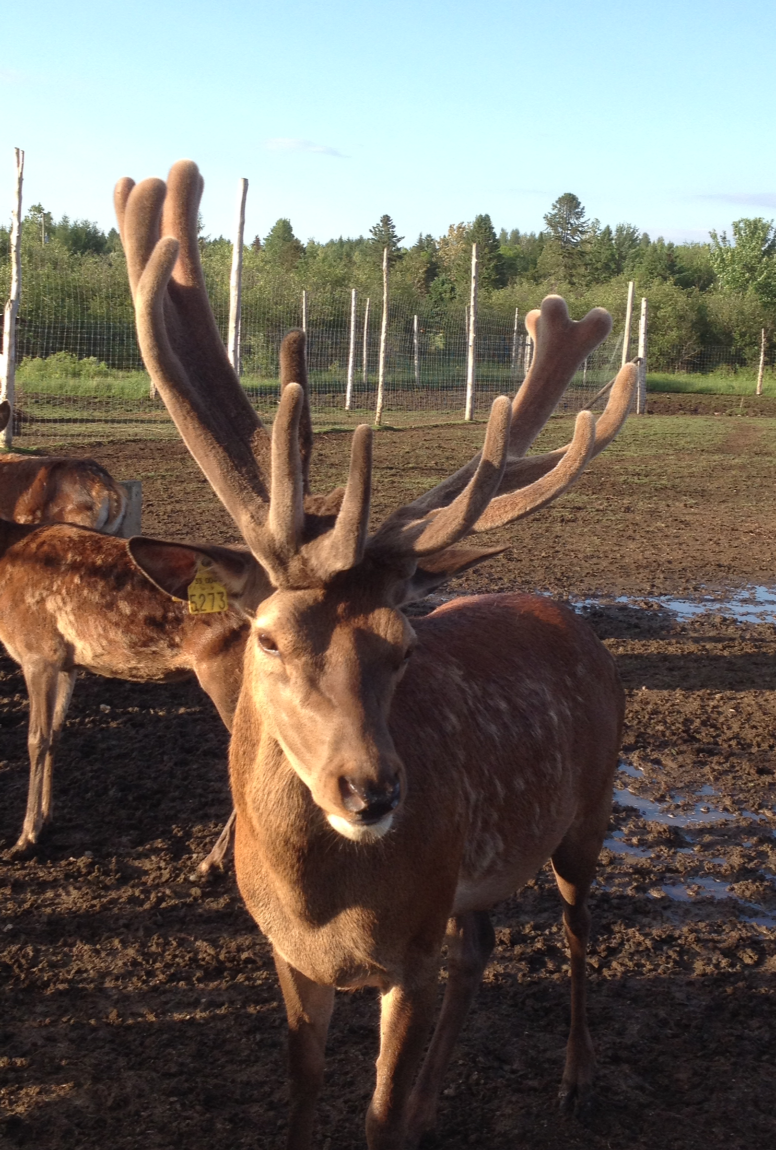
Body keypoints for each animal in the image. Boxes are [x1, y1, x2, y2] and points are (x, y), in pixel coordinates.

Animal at [117, 162, 634, 1150]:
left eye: (403, 645)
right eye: (268, 636)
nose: (374, 791)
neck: (321, 908)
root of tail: (568, 614)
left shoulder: (412, 952)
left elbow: (378, 1119)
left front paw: (409, 1109)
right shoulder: (287, 956)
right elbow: (303, 1092)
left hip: (586, 813)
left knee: (580, 926)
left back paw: (580, 1076)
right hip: (480, 876)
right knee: (486, 946)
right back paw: (445, 1098)